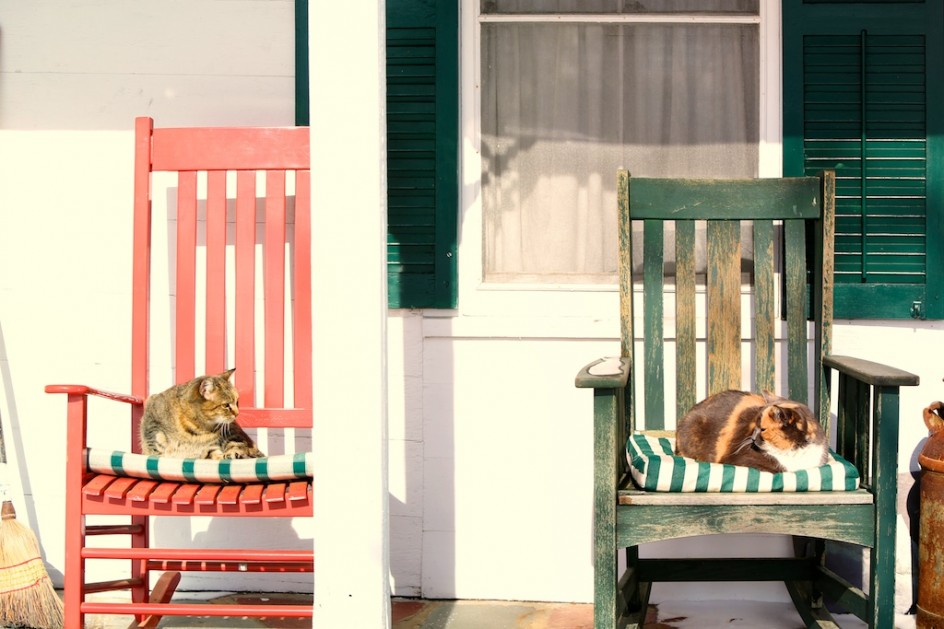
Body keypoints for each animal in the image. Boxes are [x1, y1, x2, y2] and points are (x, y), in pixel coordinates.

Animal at [136, 368, 264, 462]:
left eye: (237, 402)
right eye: (226, 405)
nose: (237, 413)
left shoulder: (211, 446)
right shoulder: (152, 427)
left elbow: (215, 453)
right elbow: (156, 449)